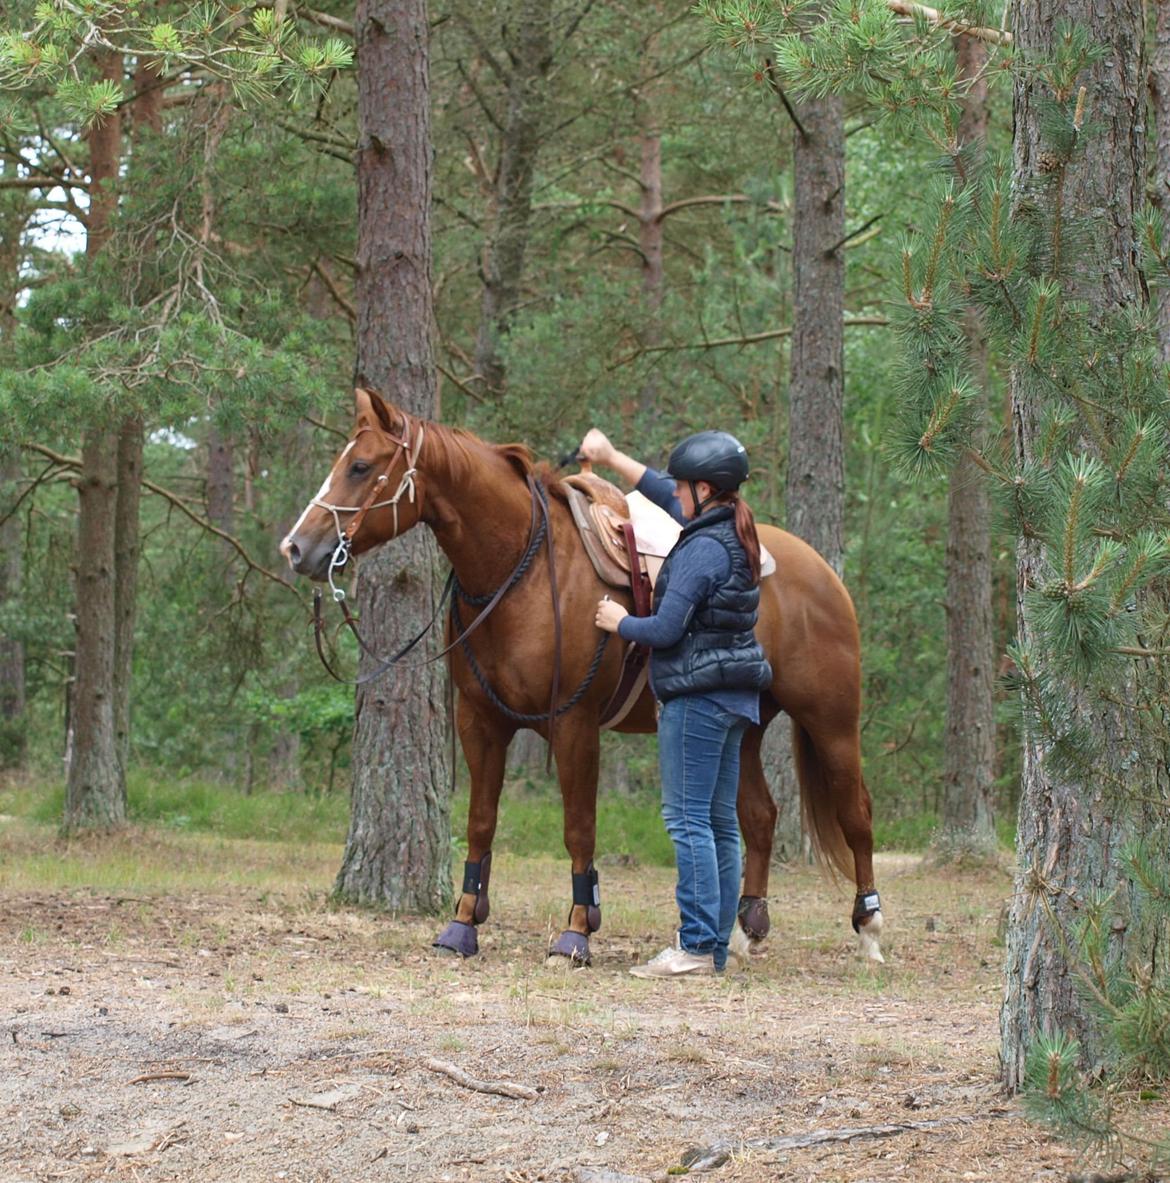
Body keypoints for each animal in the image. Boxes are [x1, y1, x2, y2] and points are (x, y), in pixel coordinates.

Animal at [280, 392, 884, 965]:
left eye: (360, 466)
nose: (296, 548)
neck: (516, 571)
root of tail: (822, 573)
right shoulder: (480, 722)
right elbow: (480, 823)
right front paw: (463, 924)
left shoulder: (574, 725)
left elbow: (578, 828)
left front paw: (576, 932)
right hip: (743, 728)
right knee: (759, 817)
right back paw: (744, 932)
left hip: (830, 722)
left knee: (855, 814)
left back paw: (869, 930)